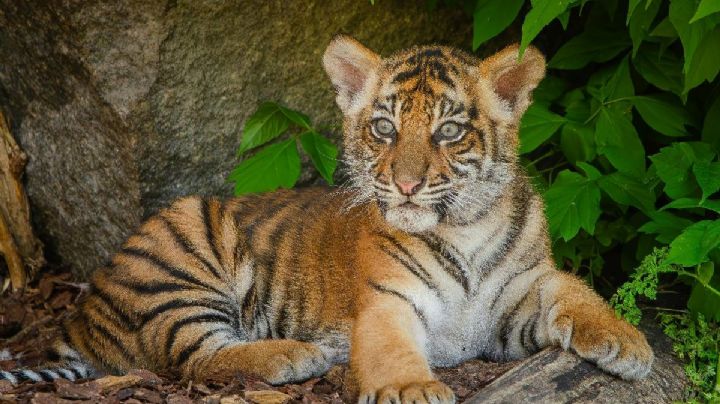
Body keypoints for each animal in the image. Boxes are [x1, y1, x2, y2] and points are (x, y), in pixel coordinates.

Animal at [0, 35, 653, 403]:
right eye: (384, 127)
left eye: (448, 131)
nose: (407, 184)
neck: (462, 228)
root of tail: (80, 312)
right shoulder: (388, 302)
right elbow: (392, 351)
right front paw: (412, 388)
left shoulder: (521, 296)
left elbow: (578, 292)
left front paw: (629, 344)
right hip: (182, 248)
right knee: (191, 356)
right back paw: (295, 354)